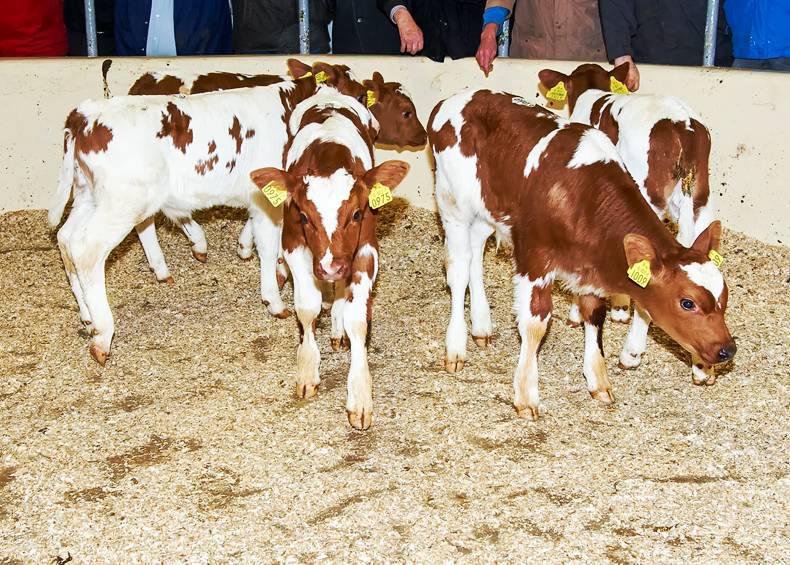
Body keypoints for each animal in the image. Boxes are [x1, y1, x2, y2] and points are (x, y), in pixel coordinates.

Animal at [49, 64, 367, 365]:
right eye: (361, 96)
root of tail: (86, 114)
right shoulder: (271, 199)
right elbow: (268, 246)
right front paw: (275, 300)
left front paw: (249, 252)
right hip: (122, 203)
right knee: (88, 250)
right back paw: (103, 332)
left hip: (88, 196)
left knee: (67, 238)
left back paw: (88, 314)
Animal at [249, 87, 410, 430]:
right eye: (305, 217)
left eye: (357, 213)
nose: (331, 267)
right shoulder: (294, 242)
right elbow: (307, 308)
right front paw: (307, 370)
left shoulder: (365, 248)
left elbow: (358, 319)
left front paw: (360, 398)